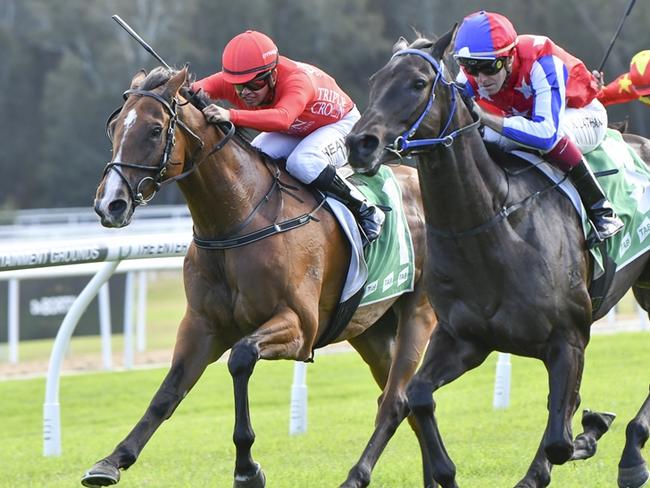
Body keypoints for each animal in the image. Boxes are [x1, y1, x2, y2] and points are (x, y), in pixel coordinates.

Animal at [81, 66, 436, 488]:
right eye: (115, 126)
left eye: (154, 130)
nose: (110, 204)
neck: (237, 219)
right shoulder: (202, 325)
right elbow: (168, 392)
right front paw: (112, 460)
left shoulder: (300, 326)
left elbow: (241, 358)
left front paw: (247, 468)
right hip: (371, 328)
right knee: (408, 401)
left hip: (418, 311)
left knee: (396, 401)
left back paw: (359, 474)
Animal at [346, 30, 648, 488]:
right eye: (375, 80)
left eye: (418, 83)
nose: (359, 144)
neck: (490, 229)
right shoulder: (464, 339)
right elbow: (417, 396)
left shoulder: (568, 339)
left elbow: (561, 440)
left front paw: (589, 432)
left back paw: (632, 453)